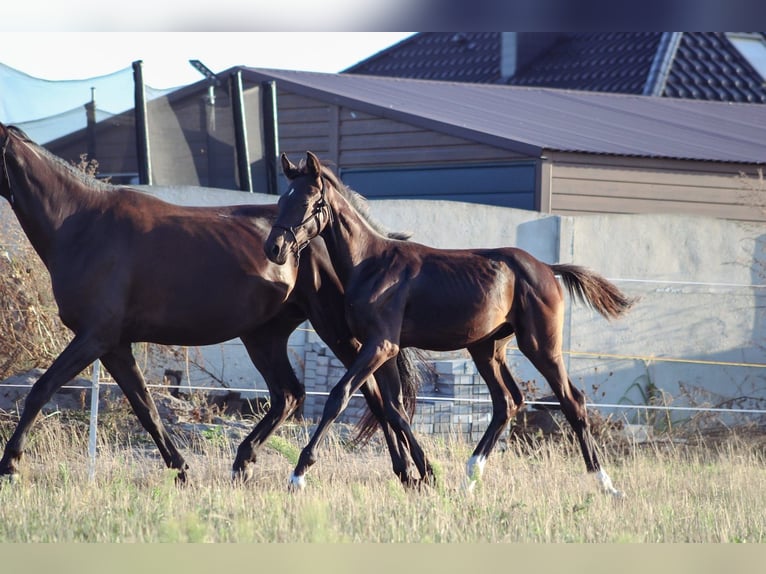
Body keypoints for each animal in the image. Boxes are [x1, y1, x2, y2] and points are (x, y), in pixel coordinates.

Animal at [0, 124, 426, 488]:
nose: (276, 247)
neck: (83, 225)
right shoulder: (114, 345)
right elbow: (146, 408)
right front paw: (181, 470)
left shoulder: (94, 338)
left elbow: (41, 390)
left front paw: (10, 466)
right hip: (264, 335)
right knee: (290, 394)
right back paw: (243, 463)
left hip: (334, 328)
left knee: (372, 393)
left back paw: (406, 471)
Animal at [268, 153, 640, 500]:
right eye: (281, 201)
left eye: (306, 202)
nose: (274, 248)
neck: (371, 263)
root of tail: (548, 268)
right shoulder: (384, 350)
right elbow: (394, 408)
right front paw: (425, 474)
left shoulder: (381, 345)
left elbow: (340, 395)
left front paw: (298, 475)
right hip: (487, 348)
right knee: (507, 402)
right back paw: (469, 478)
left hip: (541, 346)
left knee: (571, 400)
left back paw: (606, 484)